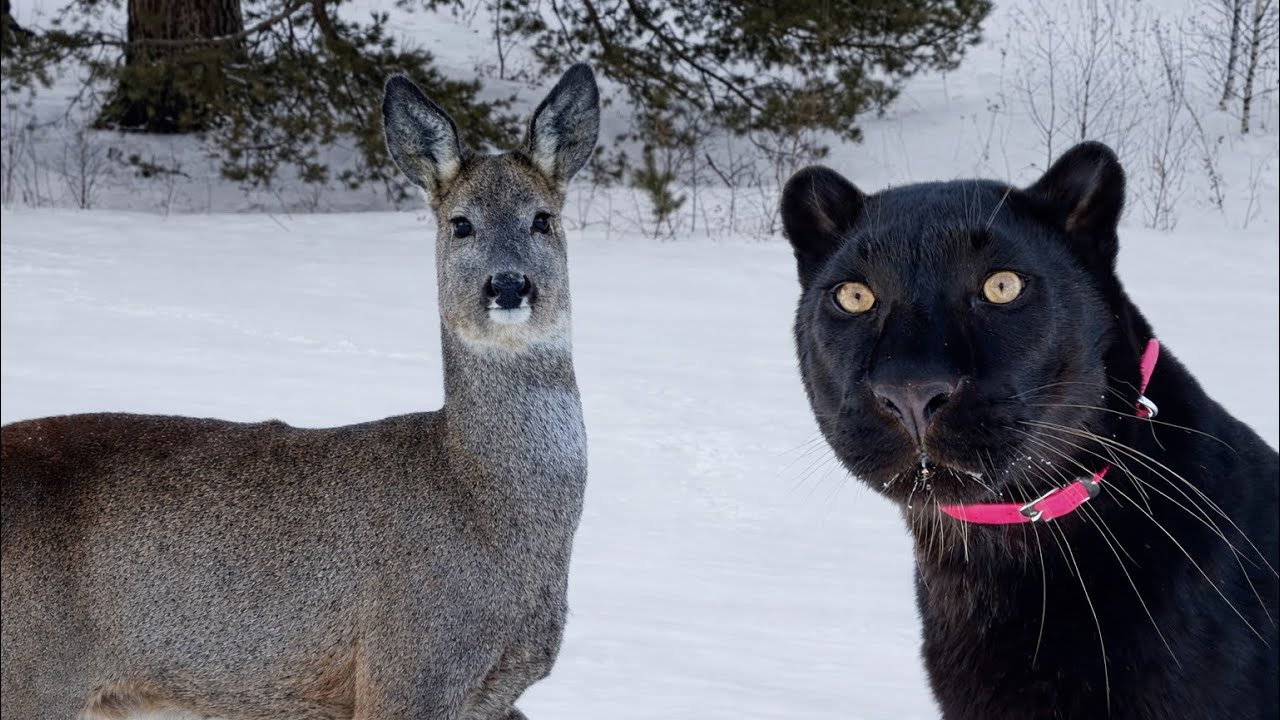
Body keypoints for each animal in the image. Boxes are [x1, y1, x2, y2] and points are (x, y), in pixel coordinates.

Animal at [0, 63, 600, 720]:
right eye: (460, 222)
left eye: (543, 218)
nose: (509, 285)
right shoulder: (405, 665)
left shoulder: (492, 695)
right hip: (32, 674)